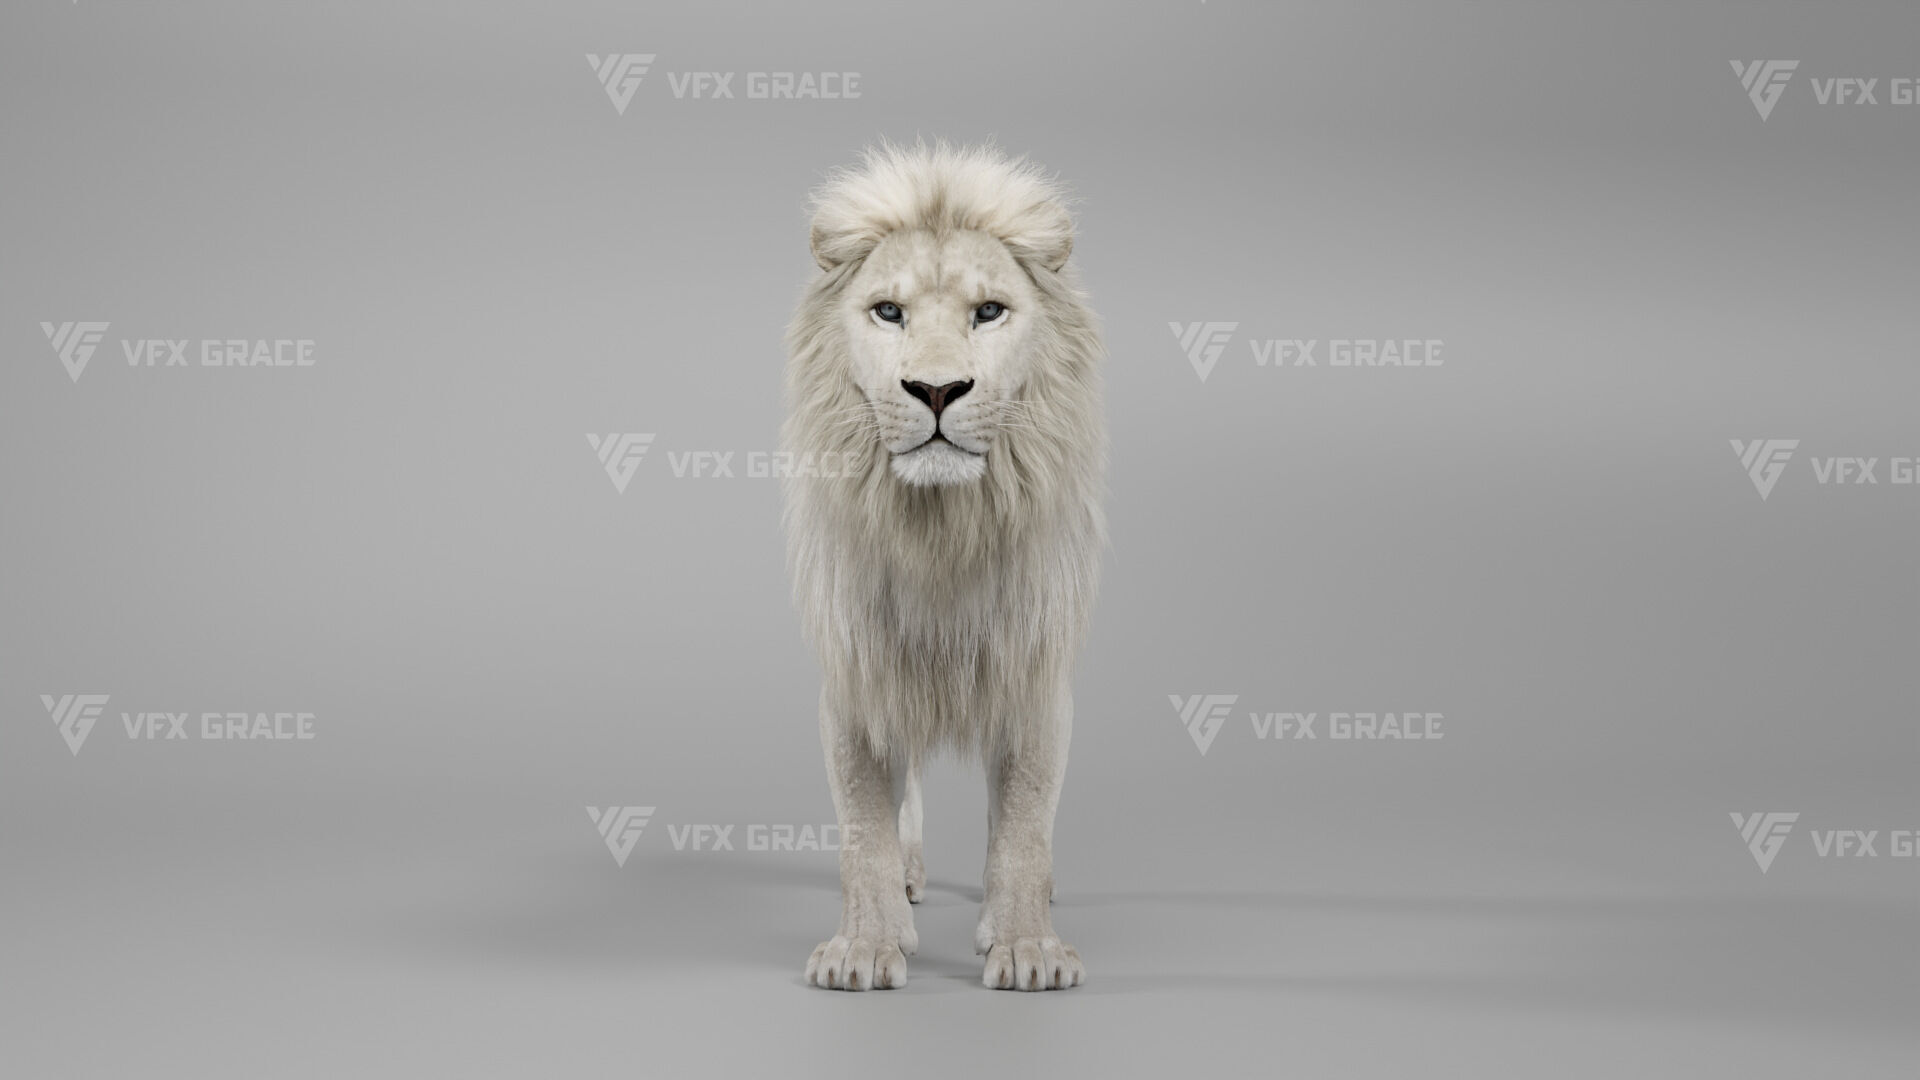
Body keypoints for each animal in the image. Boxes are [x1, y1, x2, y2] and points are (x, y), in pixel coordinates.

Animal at [783, 142, 1105, 991]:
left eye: (988, 311)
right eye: (888, 312)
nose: (935, 389)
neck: (941, 526)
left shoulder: (1032, 667)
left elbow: (1024, 816)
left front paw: (1026, 947)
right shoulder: (858, 665)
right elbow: (864, 816)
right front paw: (865, 948)